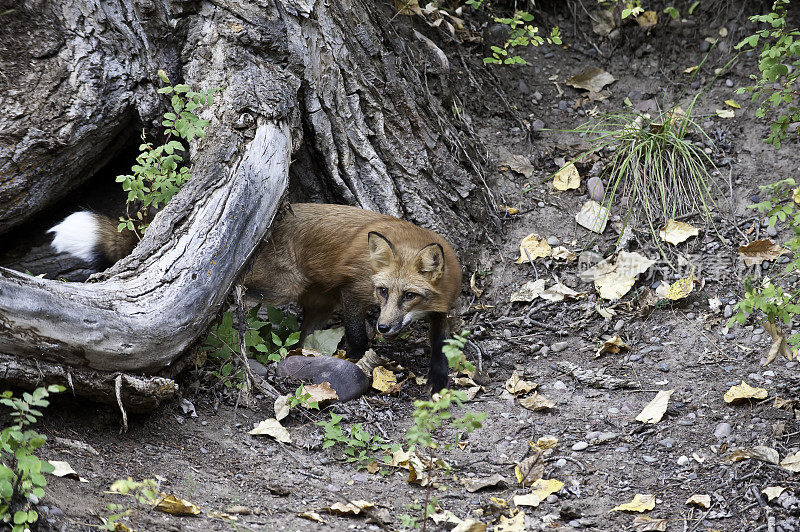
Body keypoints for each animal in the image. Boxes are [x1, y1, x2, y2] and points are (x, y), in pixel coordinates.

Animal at [48, 204, 462, 390]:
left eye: (409, 295)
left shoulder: (443, 306)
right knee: (235, 303)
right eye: (383, 291)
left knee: (301, 336)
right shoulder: (353, 292)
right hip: (281, 289)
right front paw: (359, 361)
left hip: (315, 301)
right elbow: (358, 338)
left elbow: (441, 344)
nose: (386, 327)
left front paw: (438, 380)